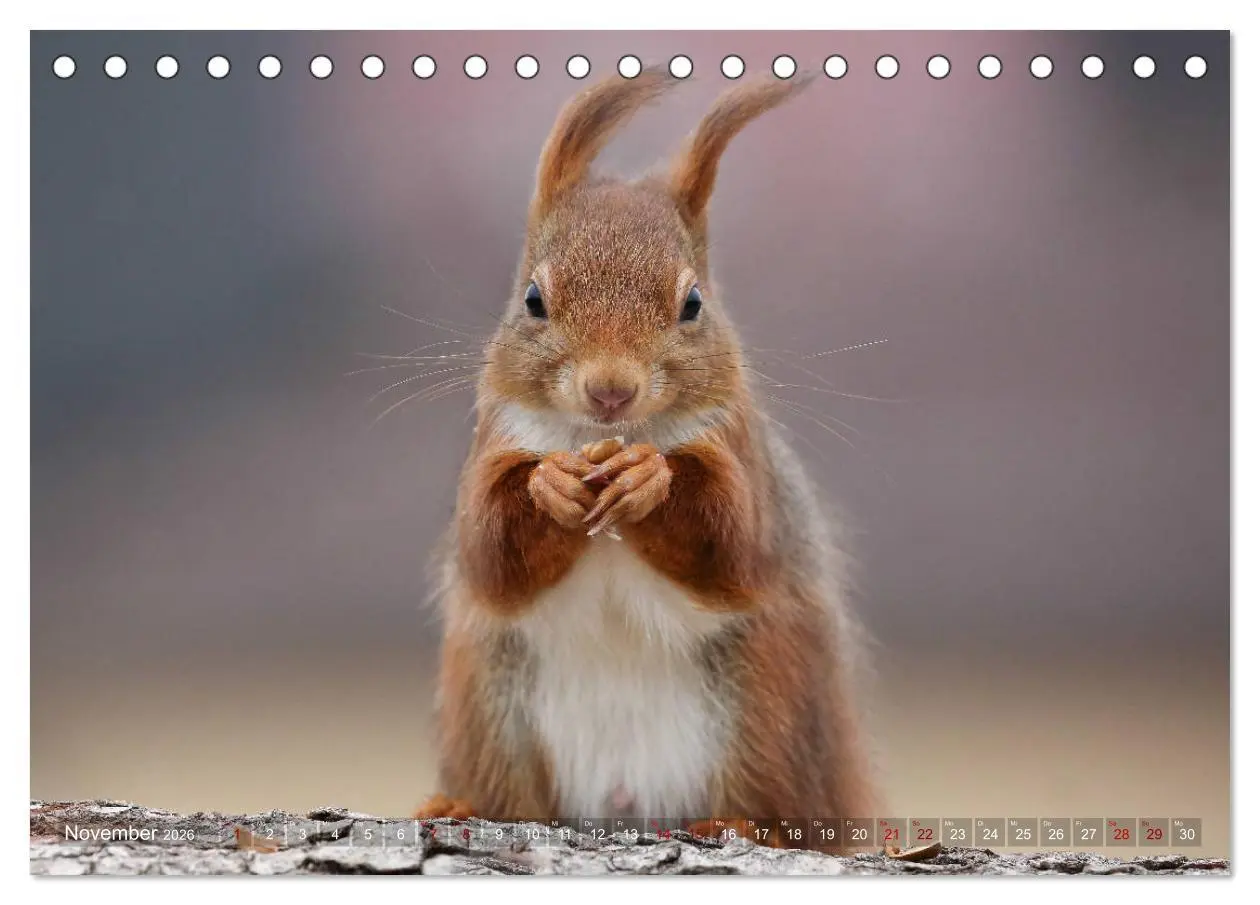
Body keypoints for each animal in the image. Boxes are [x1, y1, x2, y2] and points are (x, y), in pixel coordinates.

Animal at [415, 65, 880, 846]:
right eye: (533, 299)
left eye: (693, 304)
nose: (611, 389)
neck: (600, 436)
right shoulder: (495, 443)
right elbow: (490, 553)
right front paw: (550, 484)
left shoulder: (741, 456)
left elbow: (731, 541)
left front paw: (649, 477)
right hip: (492, 707)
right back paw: (458, 806)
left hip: (765, 710)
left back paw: (744, 823)